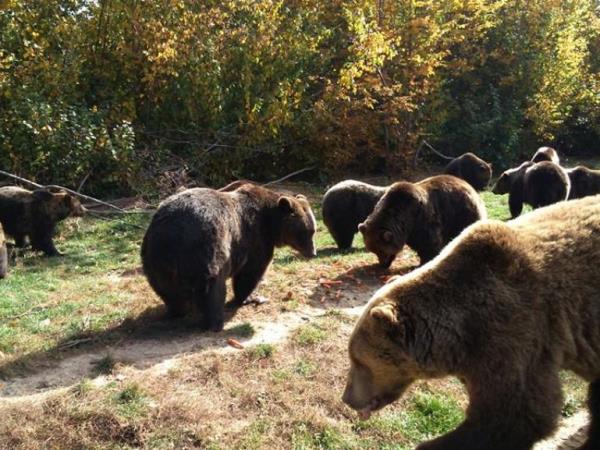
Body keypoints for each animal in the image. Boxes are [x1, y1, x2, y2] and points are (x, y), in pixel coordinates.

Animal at [141, 182, 318, 330]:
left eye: (313, 230)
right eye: (307, 232)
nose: (313, 253)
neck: (271, 222)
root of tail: (172, 233)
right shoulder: (255, 239)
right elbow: (250, 272)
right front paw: (249, 297)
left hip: (154, 258)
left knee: (167, 291)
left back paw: (177, 310)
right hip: (207, 249)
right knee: (212, 288)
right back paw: (215, 322)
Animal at [356, 176, 488, 268]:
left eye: (381, 250)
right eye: (373, 250)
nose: (382, 264)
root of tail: (470, 186)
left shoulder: (421, 220)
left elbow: (429, 242)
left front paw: (426, 261)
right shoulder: (409, 231)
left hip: (461, 214)